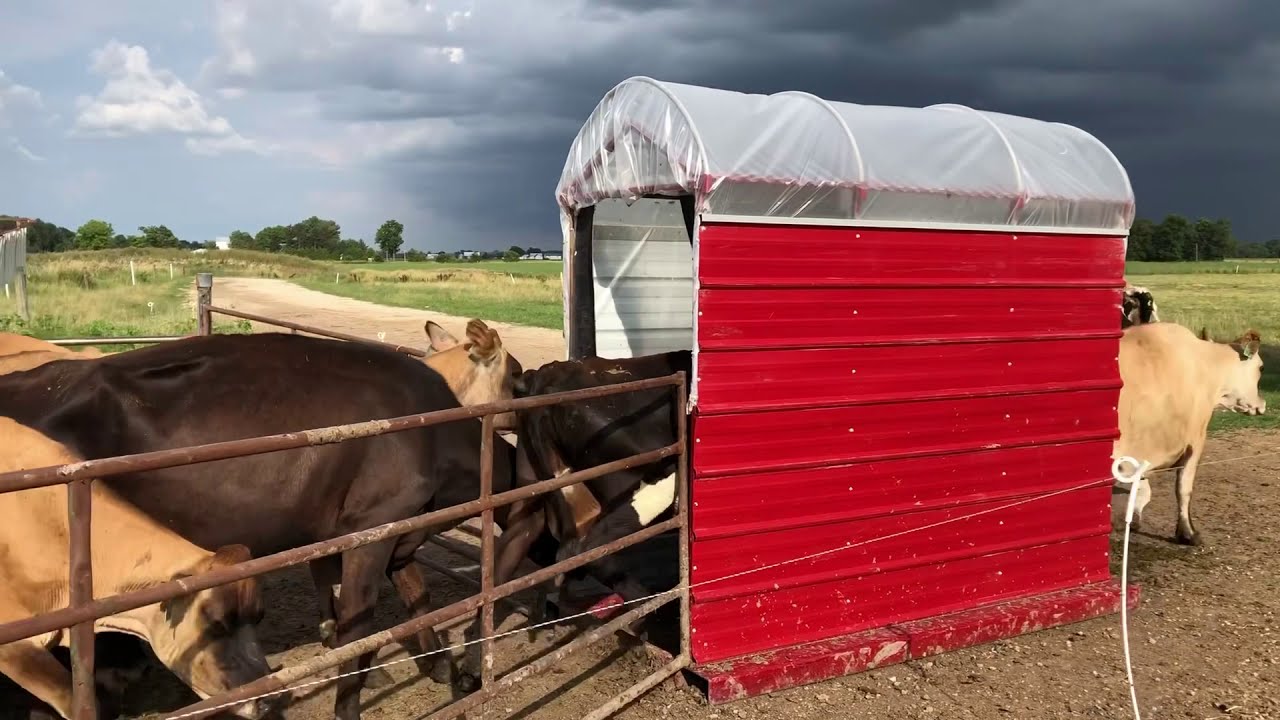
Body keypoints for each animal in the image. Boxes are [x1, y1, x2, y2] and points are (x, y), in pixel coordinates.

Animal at [1113, 322, 1265, 545]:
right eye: (1261, 368)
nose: (1262, 404)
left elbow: (1141, 487)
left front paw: (1134, 519)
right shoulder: (1195, 439)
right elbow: (1184, 488)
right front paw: (1188, 533)